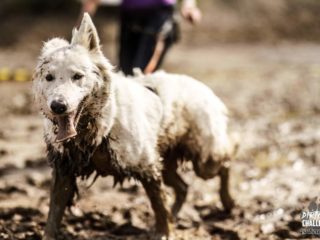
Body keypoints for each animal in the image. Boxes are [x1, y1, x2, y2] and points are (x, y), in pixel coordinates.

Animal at [33, 13, 235, 240]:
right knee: (183, 188)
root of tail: (202, 86)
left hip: (204, 159)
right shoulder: (64, 170)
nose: (58, 106)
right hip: (167, 162)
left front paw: (164, 232)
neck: (102, 123)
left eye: (77, 76)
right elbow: (54, 213)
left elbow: (158, 203)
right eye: (49, 77)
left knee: (226, 163)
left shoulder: (146, 165)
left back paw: (227, 201)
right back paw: (176, 215)